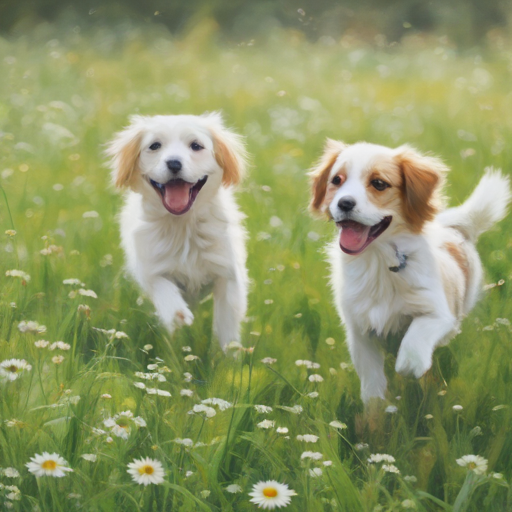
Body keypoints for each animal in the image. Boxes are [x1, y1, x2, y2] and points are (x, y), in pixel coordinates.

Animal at [108, 113, 250, 350]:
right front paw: (177, 314)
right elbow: (161, 286)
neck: (182, 225)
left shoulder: (228, 271)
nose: (174, 163)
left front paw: (228, 354)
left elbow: (226, 323)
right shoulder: (149, 266)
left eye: (196, 146)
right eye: (155, 146)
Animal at [310, 141, 510, 404]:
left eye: (379, 183)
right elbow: (372, 384)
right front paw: (377, 408)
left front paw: (410, 365)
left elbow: (415, 339)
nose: (344, 203)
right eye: (336, 180)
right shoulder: (359, 331)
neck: (379, 260)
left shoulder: (439, 313)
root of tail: (454, 228)